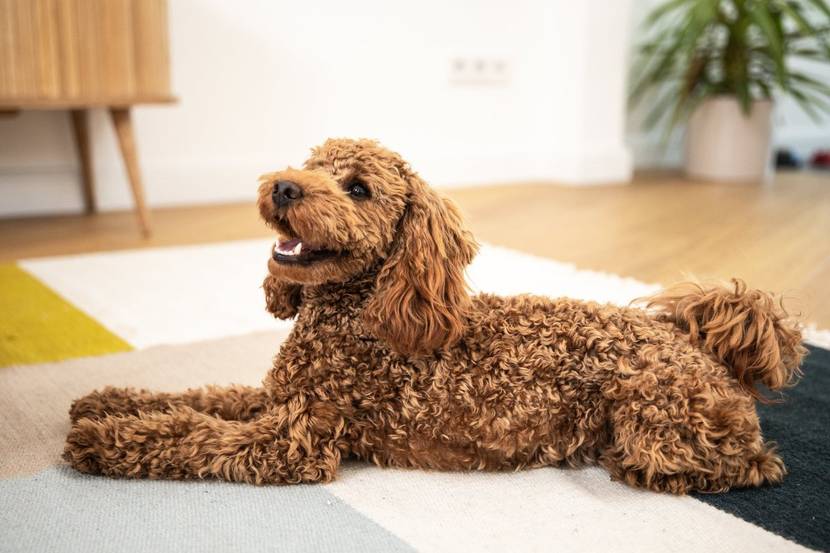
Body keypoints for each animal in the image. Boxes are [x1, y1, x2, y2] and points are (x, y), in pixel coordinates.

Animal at [65, 137, 808, 492]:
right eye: (311, 164)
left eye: (357, 189)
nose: (283, 186)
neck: (357, 310)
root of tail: (694, 342)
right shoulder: (280, 398)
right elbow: (200, 397)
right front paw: (107, 401)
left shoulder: (295, 438)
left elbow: (191, 434)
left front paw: (100, 440)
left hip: (653, 414)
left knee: (758, 464)